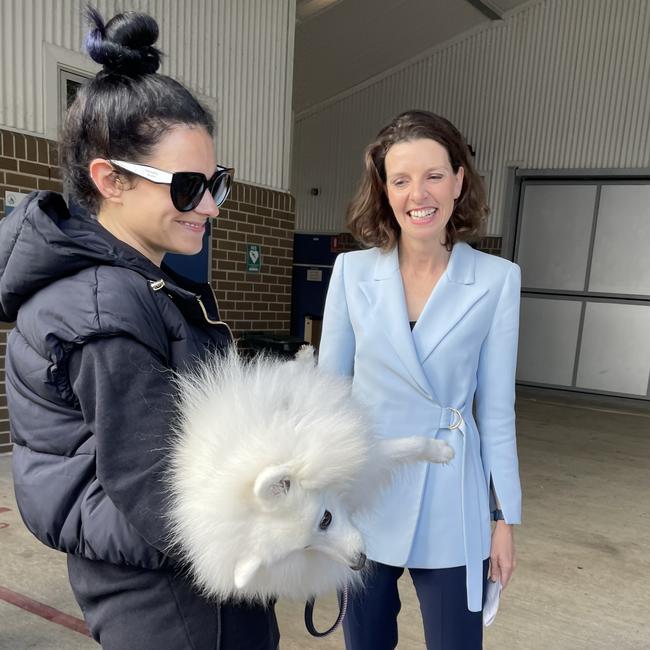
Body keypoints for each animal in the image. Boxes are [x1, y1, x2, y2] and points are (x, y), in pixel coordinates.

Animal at [166, 346, 450, 600]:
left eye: (326, 518)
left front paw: (441, 451)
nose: (358, 562)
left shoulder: (357, 451)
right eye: (306, 547)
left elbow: (409, 445)